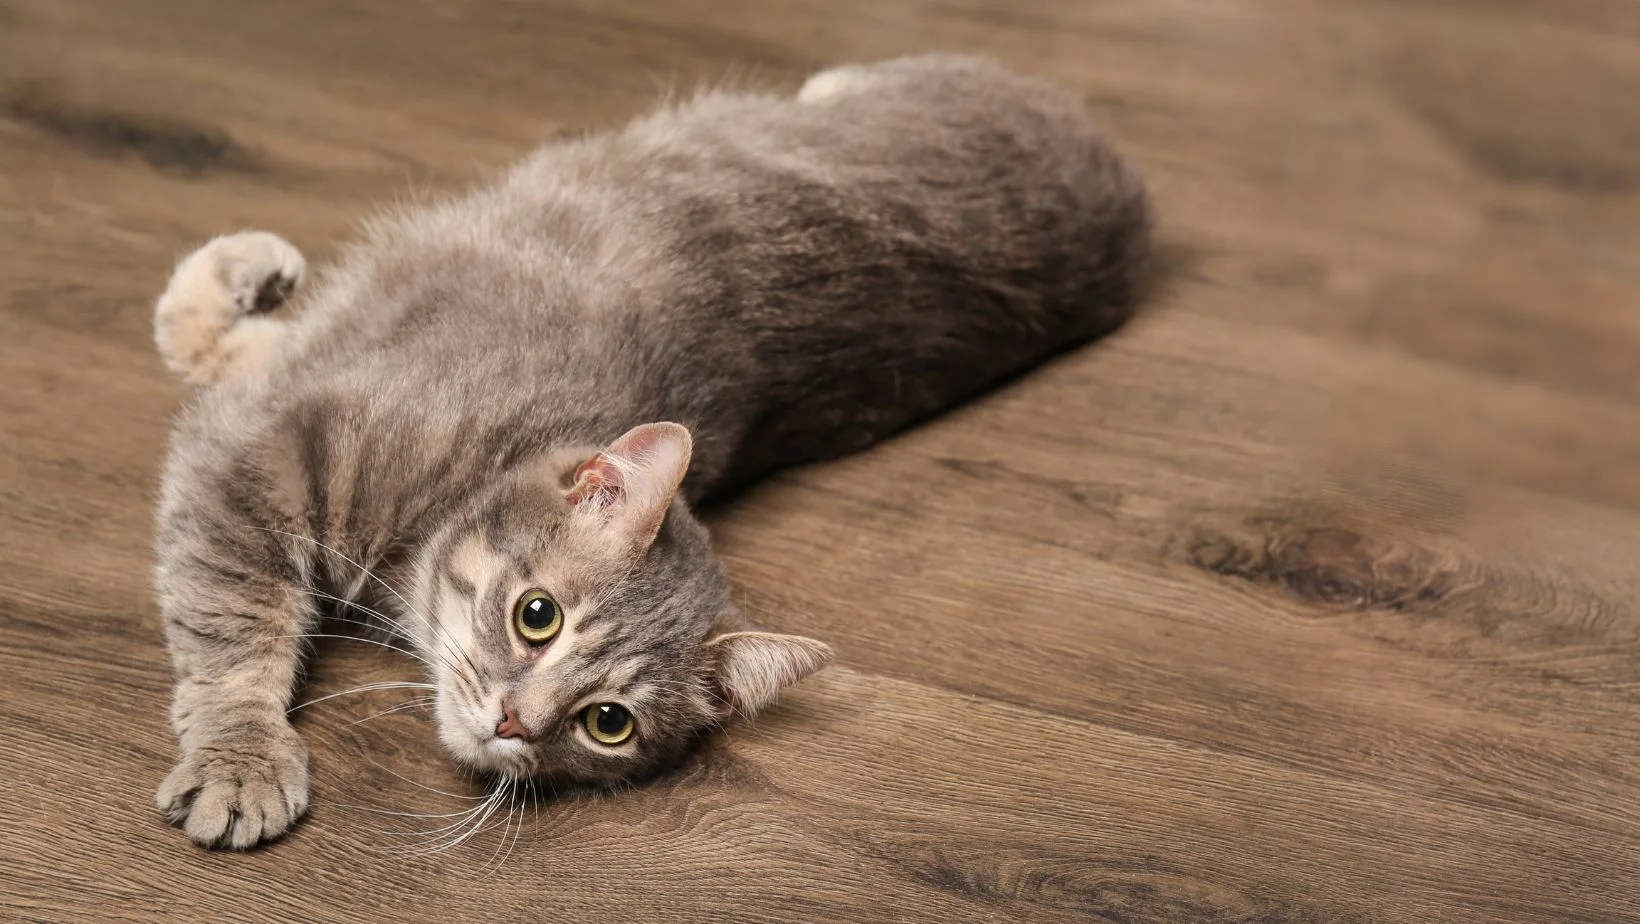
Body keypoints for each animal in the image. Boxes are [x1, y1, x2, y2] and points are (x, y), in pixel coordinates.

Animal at [154, 48, 1154, 846]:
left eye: (607, 724)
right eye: (537, 616)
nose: (515, 722)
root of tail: (1131, 195)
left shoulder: (269, 421)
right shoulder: (261, 459)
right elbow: (234, 630)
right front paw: (242, 758)